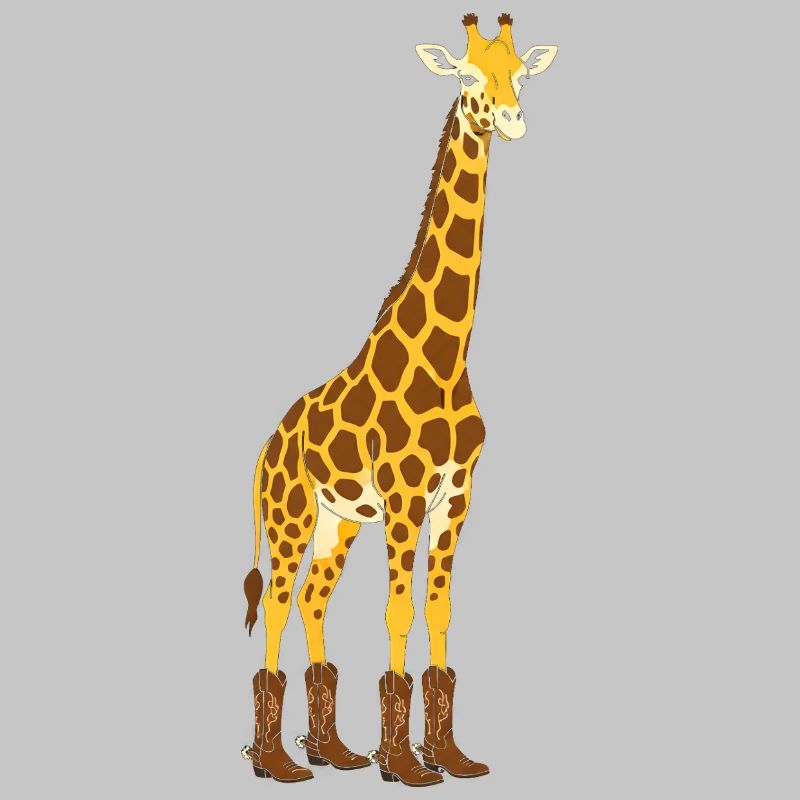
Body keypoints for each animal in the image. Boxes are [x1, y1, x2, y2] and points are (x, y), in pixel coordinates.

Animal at [241, 13, 557, 786]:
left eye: (520, 75)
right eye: (468, 77)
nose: (511, 119)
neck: (449, 357)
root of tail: (266, 444)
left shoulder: (457, 496)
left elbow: (439, 612)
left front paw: (447, 755)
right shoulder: (407, 497)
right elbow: (399, 613)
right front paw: (405, 765)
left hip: (339, 522)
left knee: (312, 599)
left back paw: (331, 750)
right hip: (292, 515)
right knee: (278, 603)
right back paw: (277, 761)